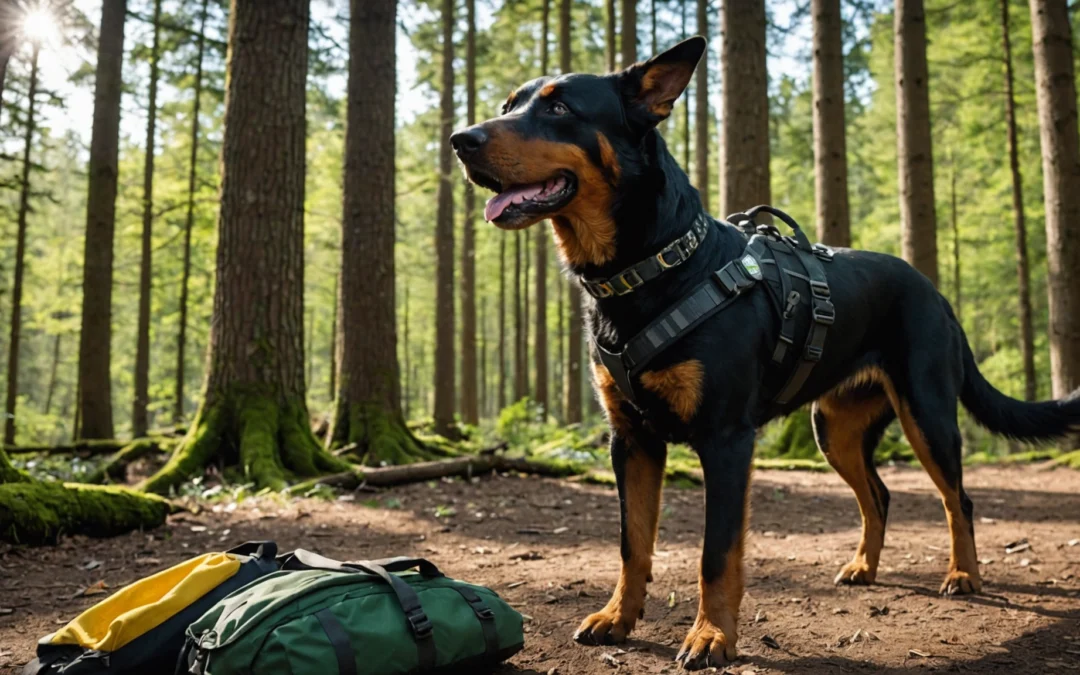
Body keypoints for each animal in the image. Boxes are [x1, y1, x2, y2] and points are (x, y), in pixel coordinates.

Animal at [449, 39, 1080, 669]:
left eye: (559, 109)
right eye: (509, 104)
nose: (460, 139)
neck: (651, 268)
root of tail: (936, 292)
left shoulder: (726, 440)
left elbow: (716, 554)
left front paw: (712, 636)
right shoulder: (630, 440)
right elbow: (633, 544)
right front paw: (617, 618)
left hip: (926, 414)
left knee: (959, 500)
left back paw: (963, 575)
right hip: (835, 429)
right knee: (878, 495)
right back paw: (864, 567)